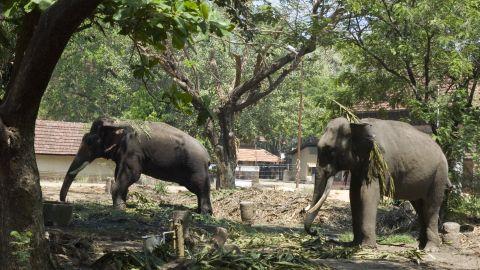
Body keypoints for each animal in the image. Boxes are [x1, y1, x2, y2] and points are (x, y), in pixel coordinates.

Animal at [59, 117, 212, 214]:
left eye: (90, 142)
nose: (65, 201)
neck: (117, 123)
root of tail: (208, 155)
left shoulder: (133, 149)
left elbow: (132, 174)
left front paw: (119, 208)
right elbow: (118, 173)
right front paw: (122, 205)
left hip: (196, 167)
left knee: (201, 187)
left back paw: (204, 213)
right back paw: (199, 211)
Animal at [306, 118, 452, 251]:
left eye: (330, 151)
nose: (315, 232)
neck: (356, 123)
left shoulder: (379, 159)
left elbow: (368, 194)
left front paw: (367, 247)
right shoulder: (360, 164)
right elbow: (354, 195)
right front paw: (354, 245)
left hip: (439, 175)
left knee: (432, 206)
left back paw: (430, 249)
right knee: (420, 206)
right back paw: (420, 247)